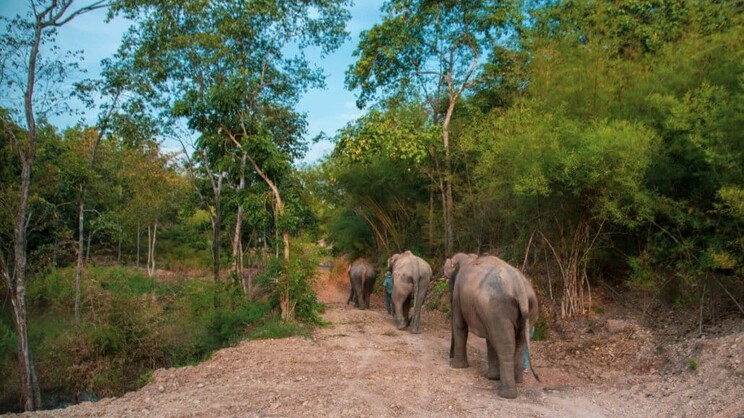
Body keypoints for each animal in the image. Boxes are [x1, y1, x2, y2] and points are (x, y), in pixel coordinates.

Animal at [443, 253, 540, 399]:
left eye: (449, 280)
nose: (450, 356)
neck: (468, 257)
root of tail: (520, 287)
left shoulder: (458, 293)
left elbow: (460, 325)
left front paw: (456, 366)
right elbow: (490, 338)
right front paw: (492, 377)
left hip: (498, 309)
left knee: (505, 346)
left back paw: (506, 394)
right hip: (527, 310)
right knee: (519, 344)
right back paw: (517, 381)